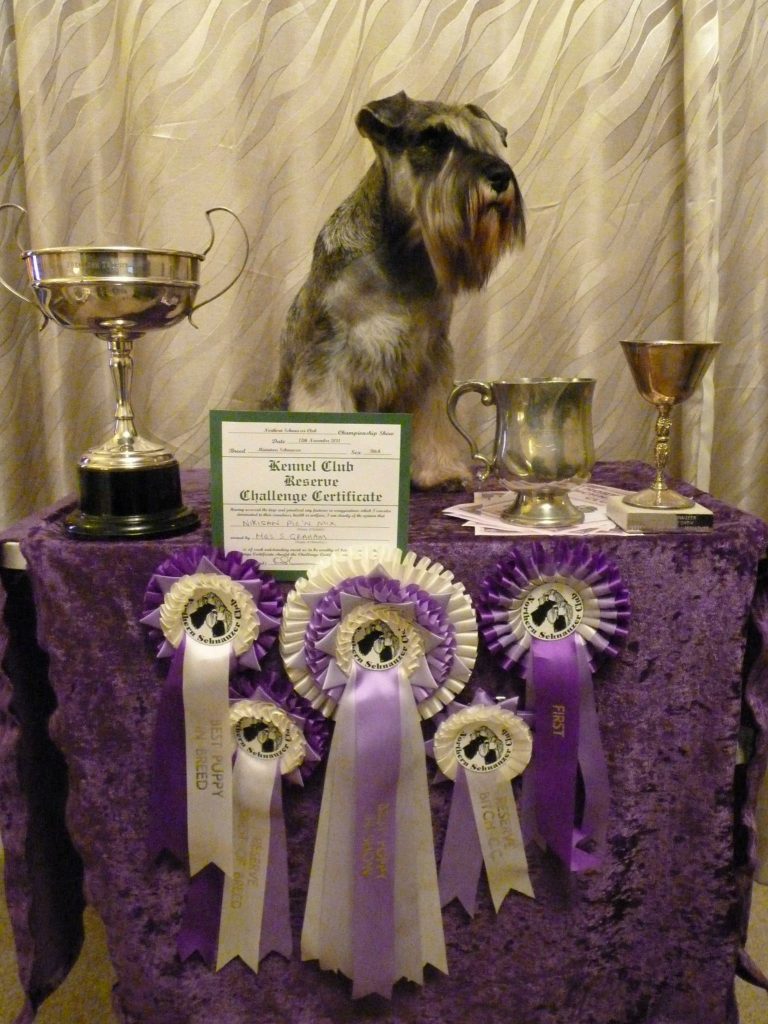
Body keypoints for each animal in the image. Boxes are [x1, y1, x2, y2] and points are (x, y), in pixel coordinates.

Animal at [268, 92, 528, 487]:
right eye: (431, 140)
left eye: (484, 142)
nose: (500, 176)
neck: (402, 255)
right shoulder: (327, 358)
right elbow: (324, 403)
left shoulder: (431, 358)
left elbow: (434, 421)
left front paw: (439, 471)